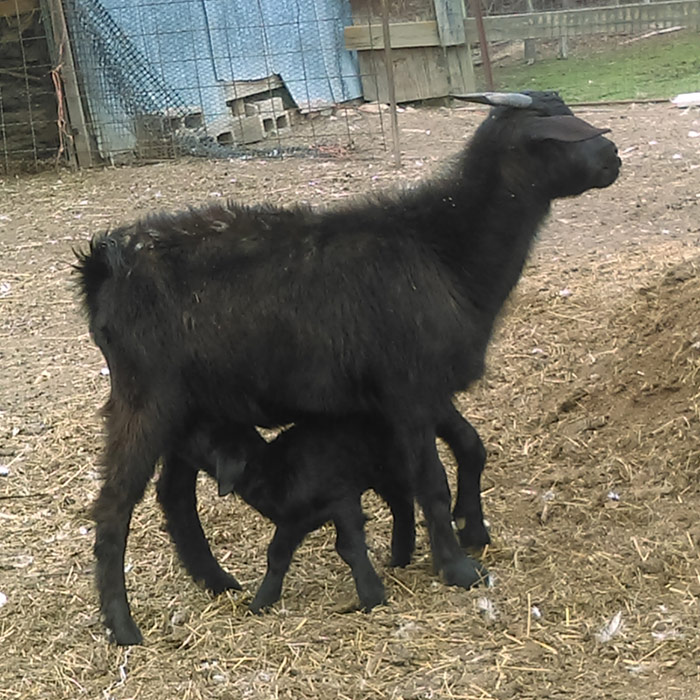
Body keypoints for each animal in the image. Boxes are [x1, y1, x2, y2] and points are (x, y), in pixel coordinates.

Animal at [76, 90, 620, 644]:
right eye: (553, 132)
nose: (614, 158)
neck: (444, 249)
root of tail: (104, 267)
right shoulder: (408, 389)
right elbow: (431, 480)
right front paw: (456, 566)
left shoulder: (423, 389)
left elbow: (471, 447)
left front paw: (474, 529)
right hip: (145, 401)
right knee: (114, 507)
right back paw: (123, 625)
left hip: (191, 408)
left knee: (174, 496)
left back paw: (217, 582)